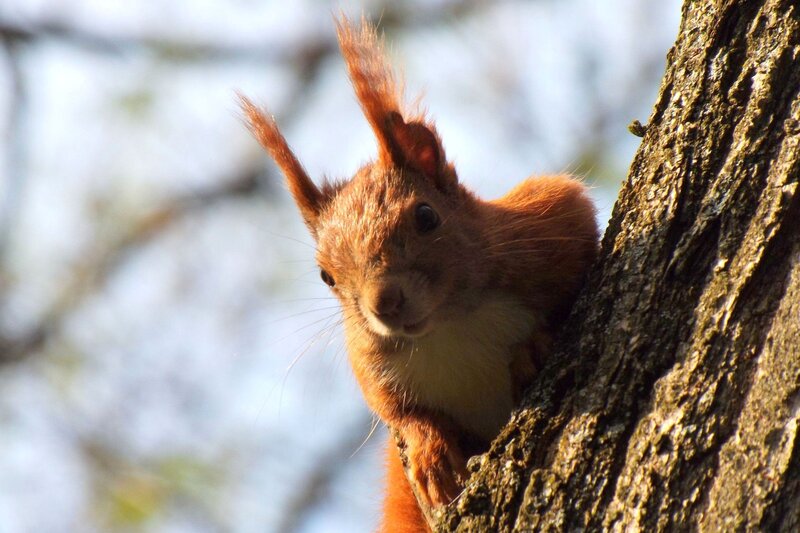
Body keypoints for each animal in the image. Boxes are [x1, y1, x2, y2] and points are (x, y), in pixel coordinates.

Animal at [240, 15, 599, 533]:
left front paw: (534, 346)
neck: (449, 325)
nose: (384, 303)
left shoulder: (548, 220)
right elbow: (395, 410)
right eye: (326, 276)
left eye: (426, 216)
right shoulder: (369, 357)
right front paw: (430, 449)